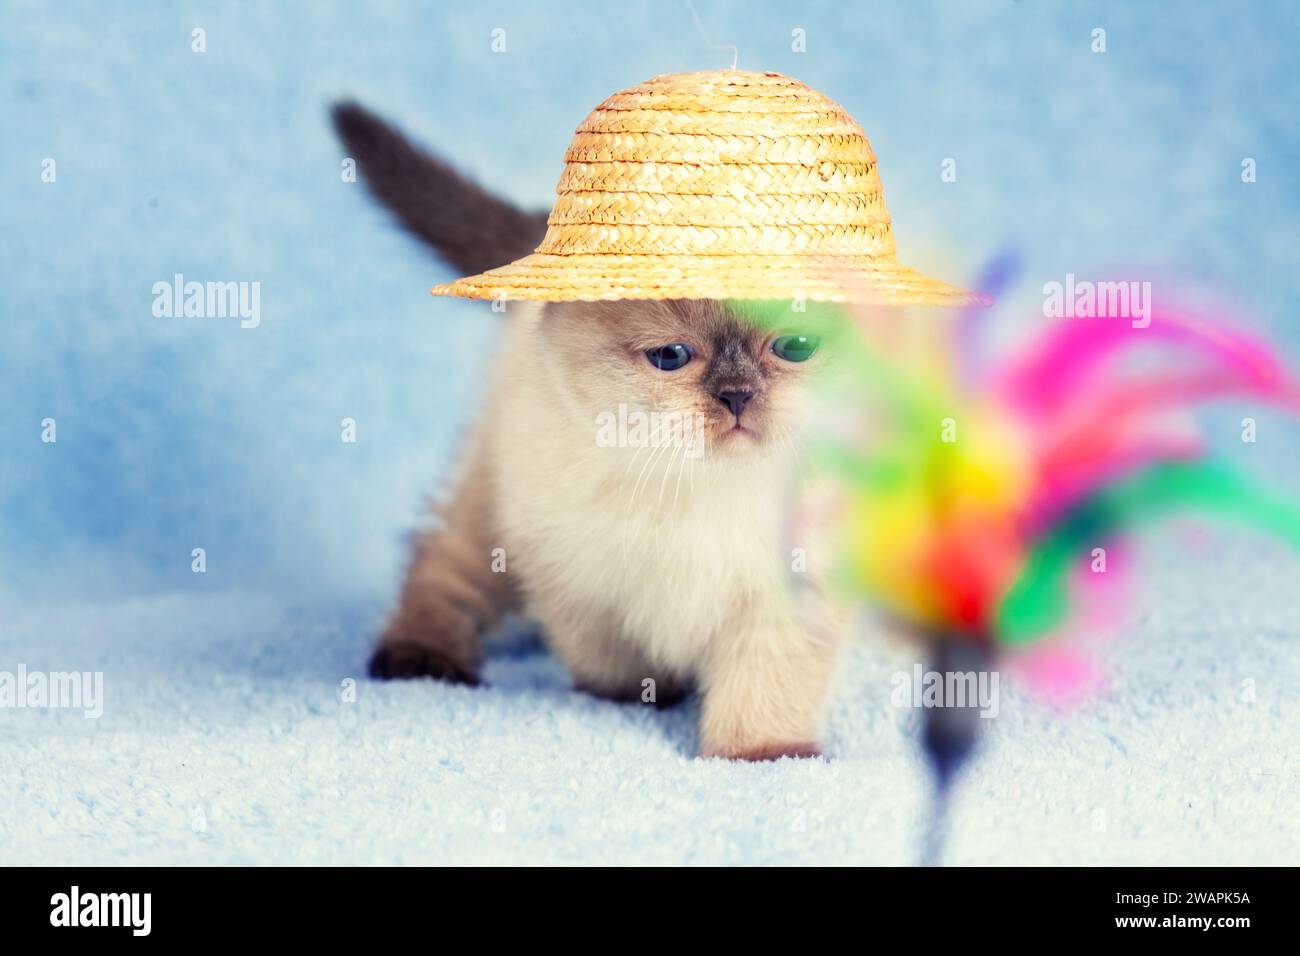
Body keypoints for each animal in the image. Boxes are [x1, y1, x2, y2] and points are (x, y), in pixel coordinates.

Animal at [332, 102, 842, 764]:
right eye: (671, 356)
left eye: (795, 347)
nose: (736, 396)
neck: (700, 492)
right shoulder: (574, 578)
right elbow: (613, 666)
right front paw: (646, 697)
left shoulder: (790, 594)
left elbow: (762, 694)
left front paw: (760, 757)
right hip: (489, 505)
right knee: (441, 564)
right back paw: (421, 659)